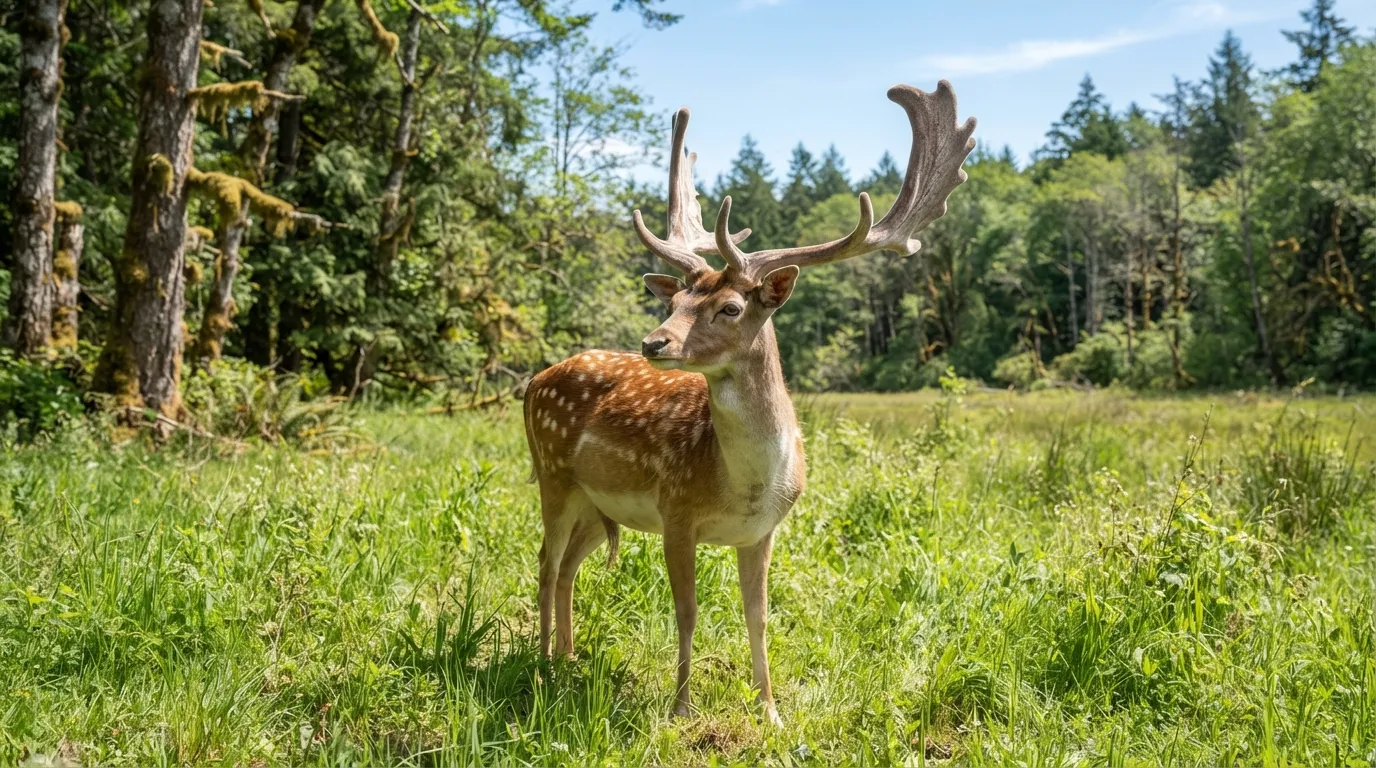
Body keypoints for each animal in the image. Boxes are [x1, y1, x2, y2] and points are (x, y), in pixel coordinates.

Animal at [523, 81, 975, 725]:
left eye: (731, 307)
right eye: (676, 301)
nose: (653, 342)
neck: (743, 483)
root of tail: (535, 381)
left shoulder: (762, 532)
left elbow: (759, 617)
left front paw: (771, 710)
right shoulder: (676, 512)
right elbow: (686, 612)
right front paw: (681, 707)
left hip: (593, 502)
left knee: (565, 568)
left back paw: (567, 659)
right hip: (552, 474)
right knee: (544, 560)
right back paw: (541, 664)